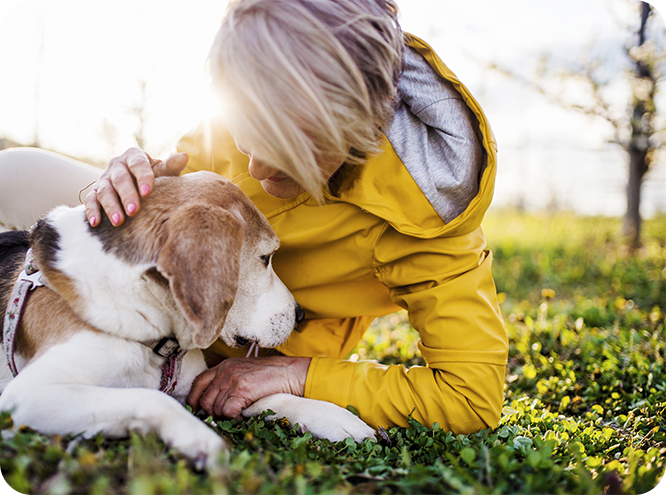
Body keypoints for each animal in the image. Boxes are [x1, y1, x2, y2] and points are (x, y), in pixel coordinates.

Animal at [0, 172, 374, 470]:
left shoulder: (199, 384)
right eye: (266, 257)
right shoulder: (30, 395)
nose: (300, 315)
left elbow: (271, 396)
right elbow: (151, 397)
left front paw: (335, 417)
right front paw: (197, 437)